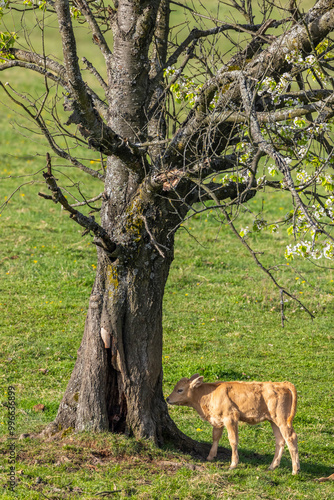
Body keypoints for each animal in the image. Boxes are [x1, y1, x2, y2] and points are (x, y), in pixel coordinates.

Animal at [167, 374, 300, 474]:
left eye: (180, 390)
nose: (167, 399)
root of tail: (282, 384)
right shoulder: (217, 420)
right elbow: (215, 437)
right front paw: (210, 456)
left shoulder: (230, 418)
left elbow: (233, 440)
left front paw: (233, 464)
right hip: (274, 420)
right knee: (280, 440)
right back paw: (272, 466)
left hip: (282, 419)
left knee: (291, 437)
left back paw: (295, 470)